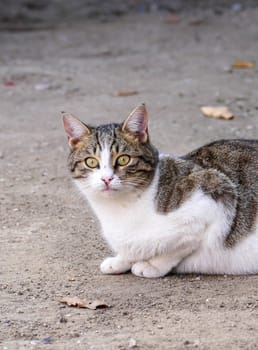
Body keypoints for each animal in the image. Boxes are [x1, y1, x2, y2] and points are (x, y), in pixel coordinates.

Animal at [62, 104, 258, 278]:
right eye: (91, 162)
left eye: (124, 159)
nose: (106, 179)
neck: (118, 209)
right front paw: (121, 260)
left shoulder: (216, 193)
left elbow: (178, 246)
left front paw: (151, 265)